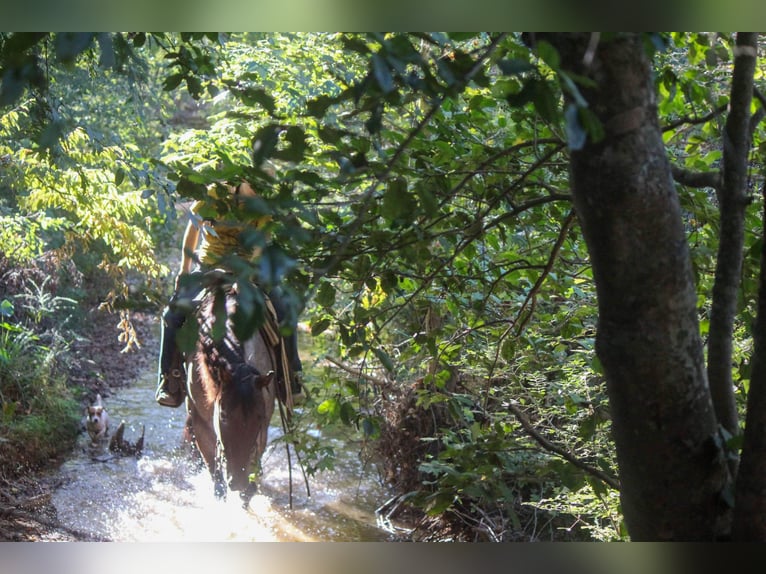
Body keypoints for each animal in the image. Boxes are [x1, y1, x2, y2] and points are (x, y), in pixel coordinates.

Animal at [186, 286, 294, 506]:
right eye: (223, 416)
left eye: (259, 418)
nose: (237, 481)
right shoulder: (201, 422)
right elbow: (217, 481)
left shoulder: (263, 427)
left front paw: (247, 492)